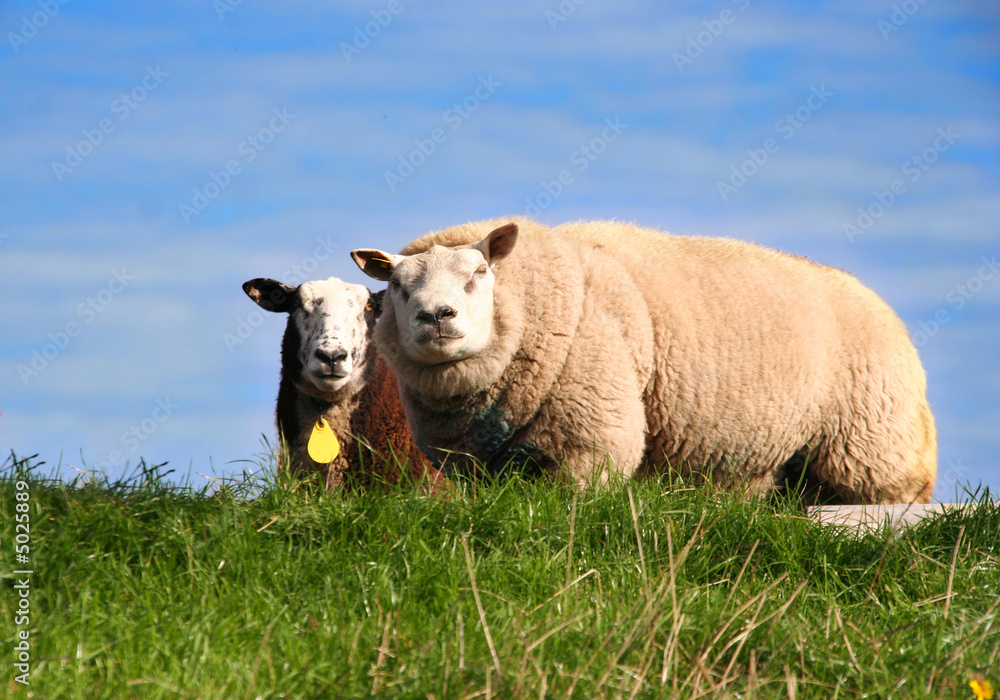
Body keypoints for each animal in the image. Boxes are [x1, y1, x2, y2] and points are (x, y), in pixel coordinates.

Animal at [351, 218, 937, 504]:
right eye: (398, 286)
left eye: (479, 272)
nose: (436, 315)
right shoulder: (474, 464)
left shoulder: (593, 440)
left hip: (875, 448)